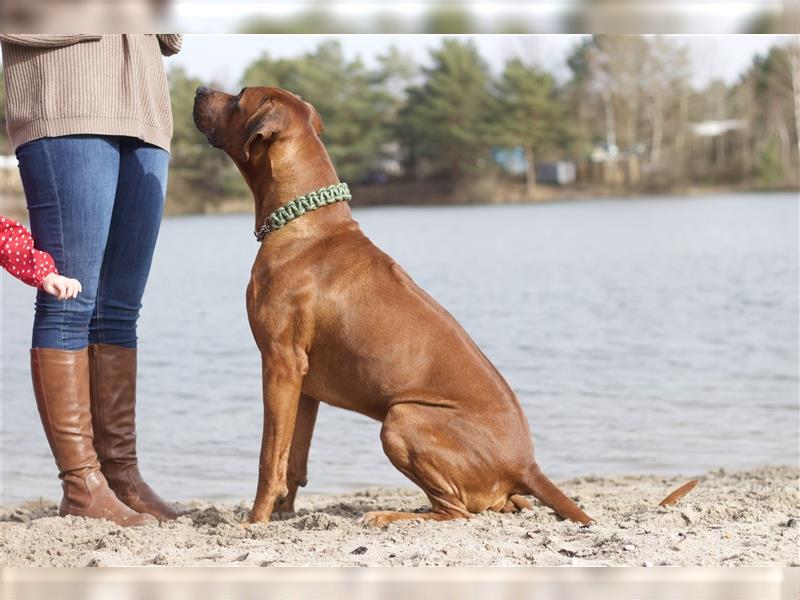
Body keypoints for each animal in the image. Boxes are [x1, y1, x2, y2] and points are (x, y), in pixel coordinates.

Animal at [194, 84, 592, 524]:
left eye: (239, 97)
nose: (199, 89)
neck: (302, 222)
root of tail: (527, 465)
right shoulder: (304, 383)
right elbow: (293, 458)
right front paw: (283, 514)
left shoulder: (280, 363)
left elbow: (269, 456)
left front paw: (256, 520)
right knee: (500, 504)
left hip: (402, 418)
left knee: (456, 512)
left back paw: (389, 516)